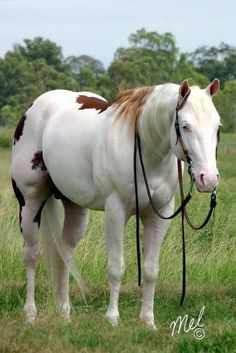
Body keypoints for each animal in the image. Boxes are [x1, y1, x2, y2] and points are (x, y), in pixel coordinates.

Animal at [11, 78, 221, 326]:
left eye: (217, 127)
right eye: (186, 126)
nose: (208, 179)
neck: (144, 149)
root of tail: (35, 107)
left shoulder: (160, 213)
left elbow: (151, 269)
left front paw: (148, 320)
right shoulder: (115, 211)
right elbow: (116, 267)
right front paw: (112, 318)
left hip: (75, 206)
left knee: (64, 251)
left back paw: (64, 315)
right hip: (30, 204)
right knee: (31, 256)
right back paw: (30, 314)